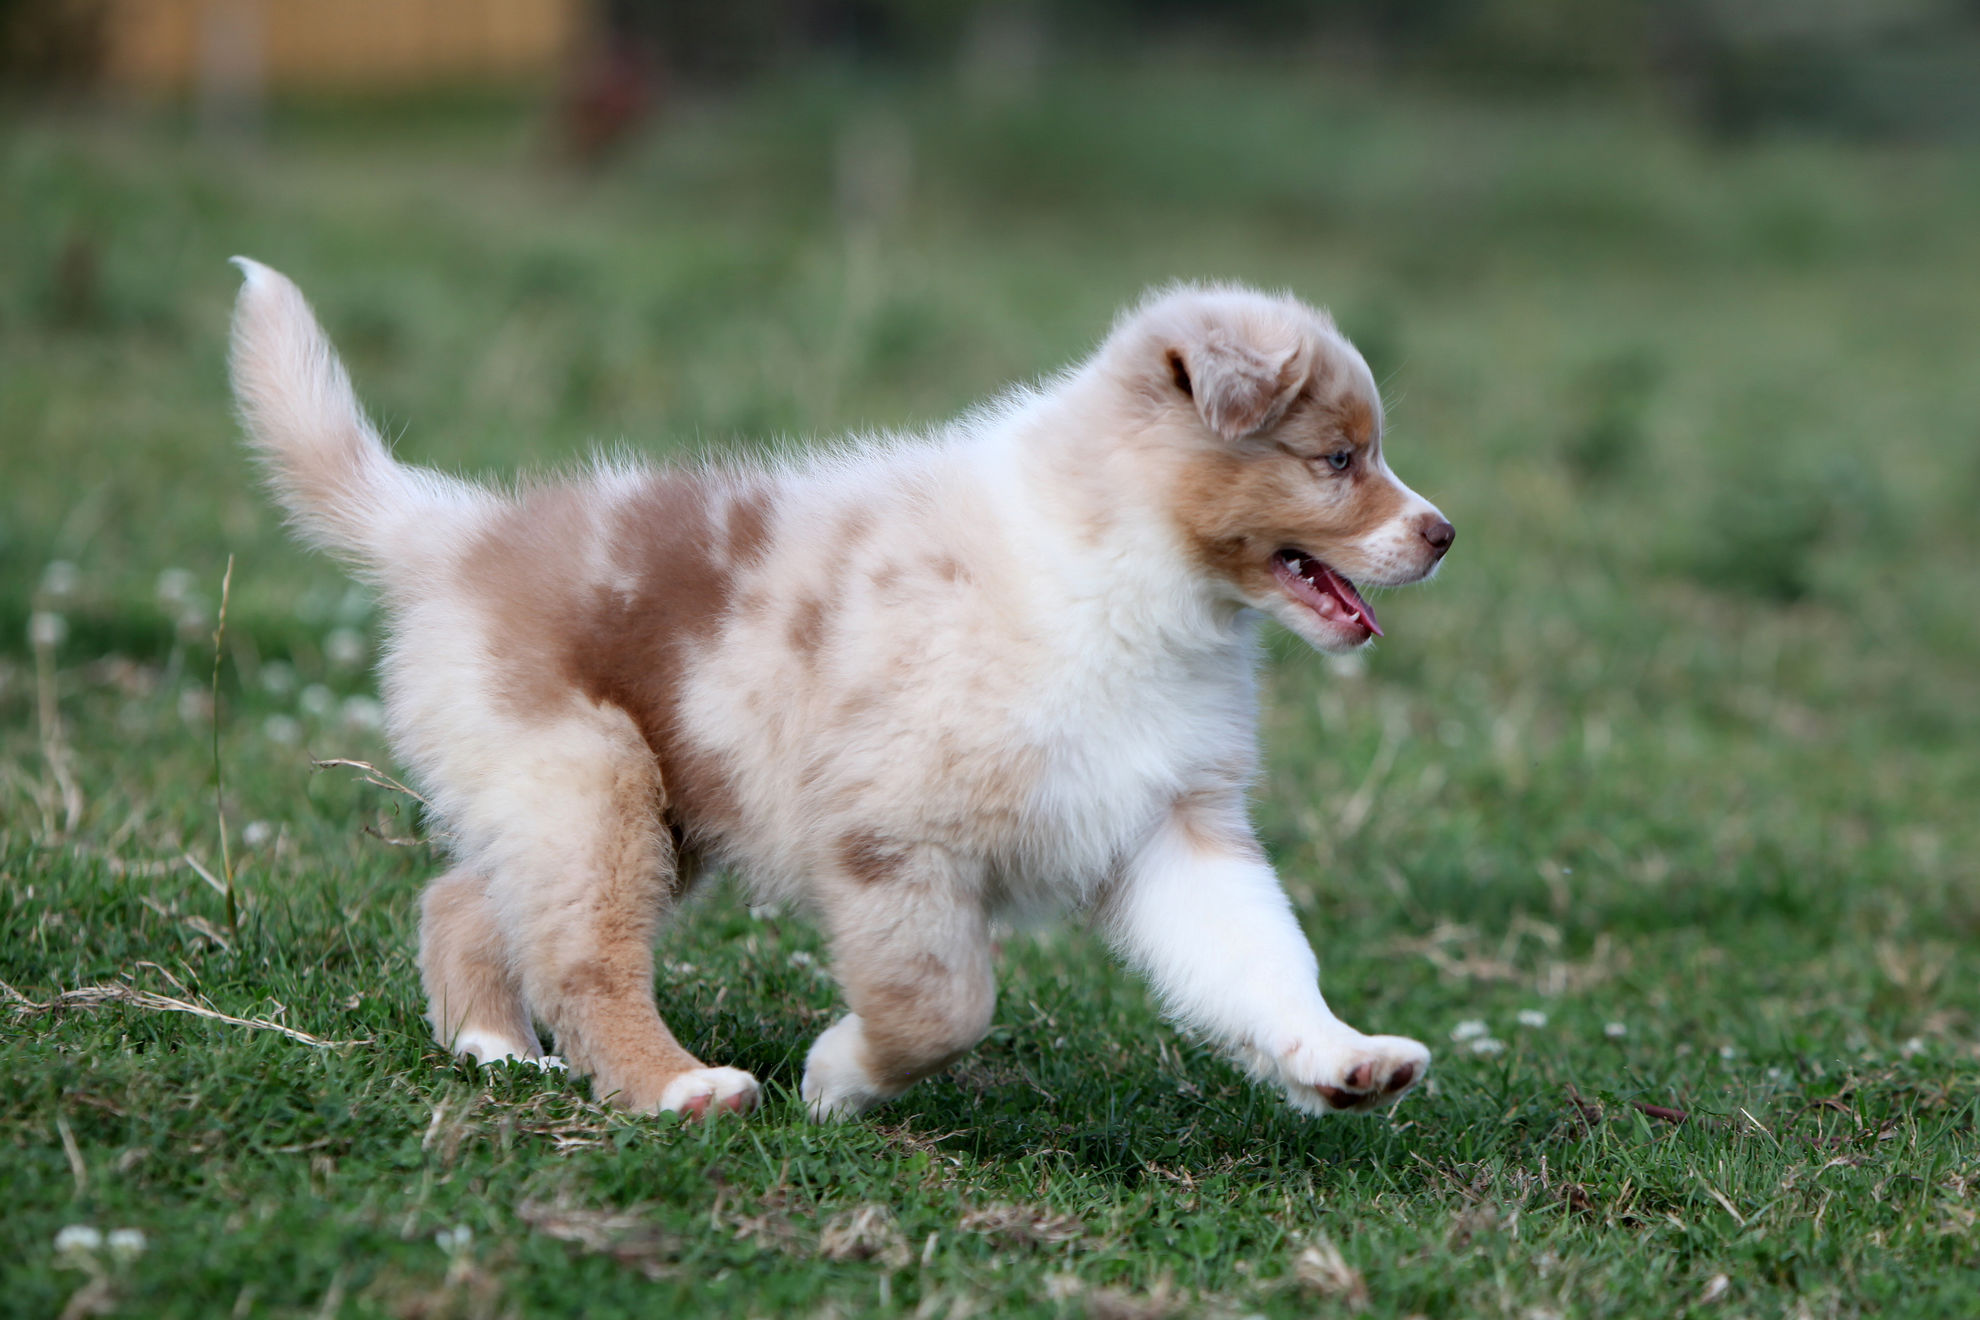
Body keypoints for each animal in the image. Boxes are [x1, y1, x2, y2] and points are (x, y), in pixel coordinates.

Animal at [227, 261, 1457, 1124]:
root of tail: (461, 532)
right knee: (581, 957)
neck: (1127, 573)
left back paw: (492, 1048)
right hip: (588, 780)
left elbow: (1261, 958)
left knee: (466, 901)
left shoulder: (1172, 820)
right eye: (1338, 459)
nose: (1444, 533)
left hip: (647, 802)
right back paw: (676, 1088)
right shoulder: (891, 837)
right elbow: (942, 1005)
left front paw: (1344, 1060)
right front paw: (838, 1077)